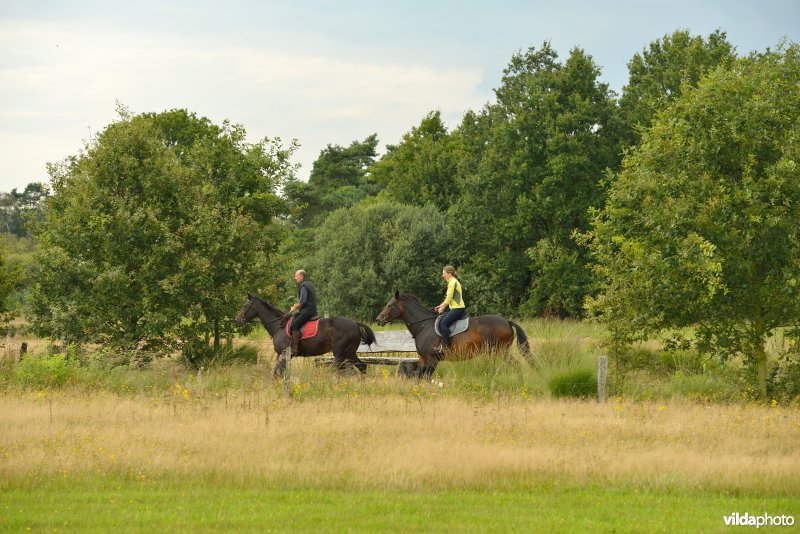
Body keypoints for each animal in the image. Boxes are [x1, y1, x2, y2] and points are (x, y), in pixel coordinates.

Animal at [234, 296, 376, 378]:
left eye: (245, 306)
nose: (236, 321)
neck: (279, 325)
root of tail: (355, 323)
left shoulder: (283, 353)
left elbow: (277, 373)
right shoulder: (282, 355)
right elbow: (279, 373)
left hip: (340, 355)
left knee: (348, 372)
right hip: (350, 353)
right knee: (362, 367)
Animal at [376, 294, 528, 382]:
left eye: (389, 305)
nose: (378, 319)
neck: (423, 325)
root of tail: (506, 321)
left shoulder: (432, 359)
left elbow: (427, 377)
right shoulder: (423, 358)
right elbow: (419, 377)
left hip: (499, 351)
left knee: (515, 365)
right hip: (496, 352)